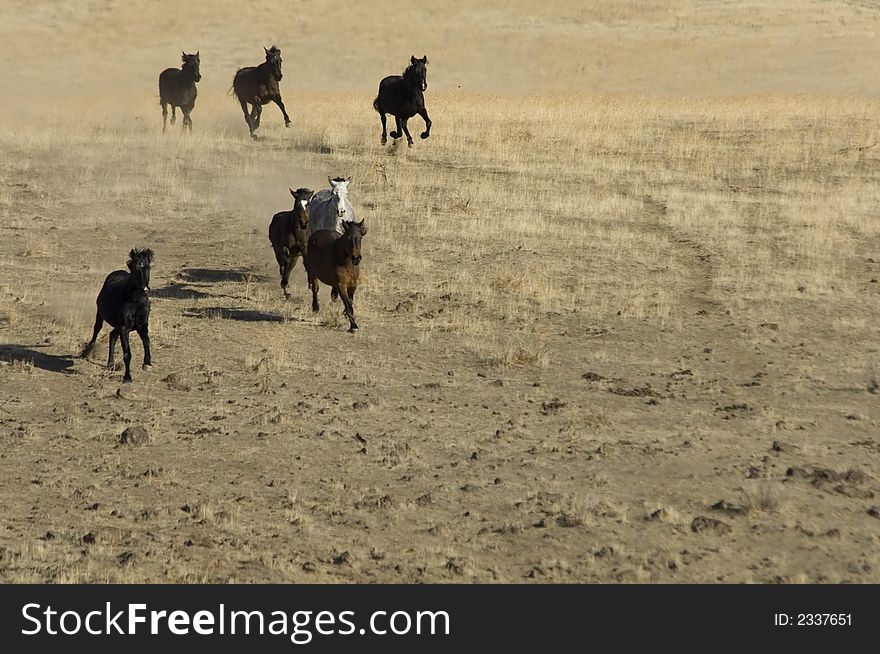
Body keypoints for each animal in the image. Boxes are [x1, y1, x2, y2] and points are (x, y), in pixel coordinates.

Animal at [82, 250, 155, 384]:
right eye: (135, 268)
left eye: (148, 267)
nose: (145, 290)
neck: (135, 302)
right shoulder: (124, 328)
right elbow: (127, 353)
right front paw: (127, 377)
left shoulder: (142, 326)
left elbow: (147, 342)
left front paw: (147, 364)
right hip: (101, 314)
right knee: (97, 329)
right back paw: (88, 351)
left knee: (112, 336)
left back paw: (110, 364)